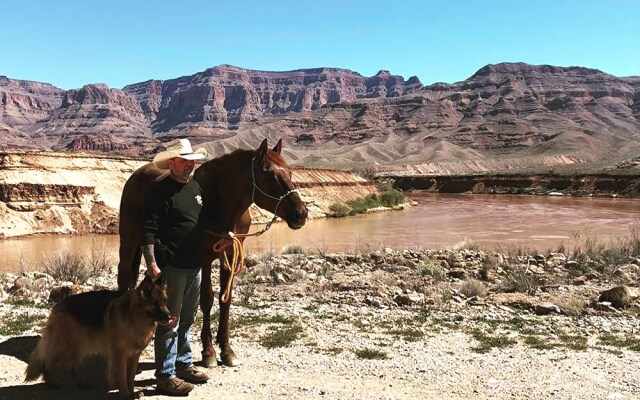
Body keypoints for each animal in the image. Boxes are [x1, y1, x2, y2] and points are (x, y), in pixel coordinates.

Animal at [25, 276, 171, 400]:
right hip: (67, 345)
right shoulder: (120, 354)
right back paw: (51, 382)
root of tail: (58, 304)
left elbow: (131, 377)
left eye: (165, 301)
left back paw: (82, 383)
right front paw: (125, 395)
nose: (170, 317)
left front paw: (132, 393)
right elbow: (123, 376)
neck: (133, 316)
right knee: (48, 361)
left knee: (74, 367)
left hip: (83, 344)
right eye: (155, 303)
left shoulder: (135, 355)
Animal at [120, 139, 310, 368]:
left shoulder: (230, 253)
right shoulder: (204, 259)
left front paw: (227, 350)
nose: (301, 214)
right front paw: (208, 351)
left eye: (290, 173)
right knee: (123, 279)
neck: (219, 203)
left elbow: (225, 300)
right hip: (129, 243)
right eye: (271, 175)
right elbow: (207, 299)